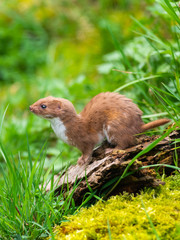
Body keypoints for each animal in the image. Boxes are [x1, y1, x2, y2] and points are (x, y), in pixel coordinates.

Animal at [29, 92, 170, 165]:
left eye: (43, 106)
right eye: (39, 99)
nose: (30, 107)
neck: (62, 132)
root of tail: (138, 124)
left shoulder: (84, 139)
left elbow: (87, 150)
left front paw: (82, 160)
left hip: (114, 125)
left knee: (126, 141)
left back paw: (111, 149)